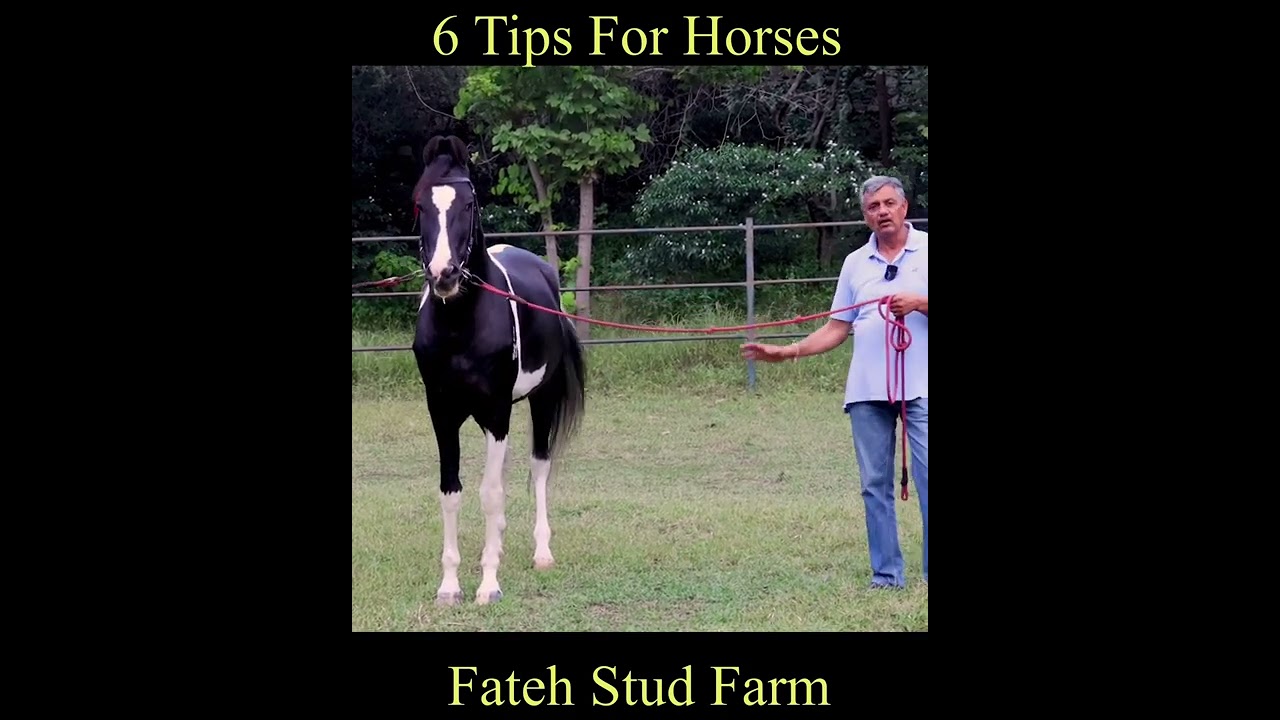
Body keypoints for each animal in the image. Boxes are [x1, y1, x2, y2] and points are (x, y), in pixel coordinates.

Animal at [409, 135, 586, 606]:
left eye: (469, 204)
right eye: (420, 203)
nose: (444, 274)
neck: (461, 325)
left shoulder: (496, 410)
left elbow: (490, 494)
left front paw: (489, 584)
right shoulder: (442, 412)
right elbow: (451, 491)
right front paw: (450, 586)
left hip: (539, 402)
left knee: (539, 467)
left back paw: (541, 552)